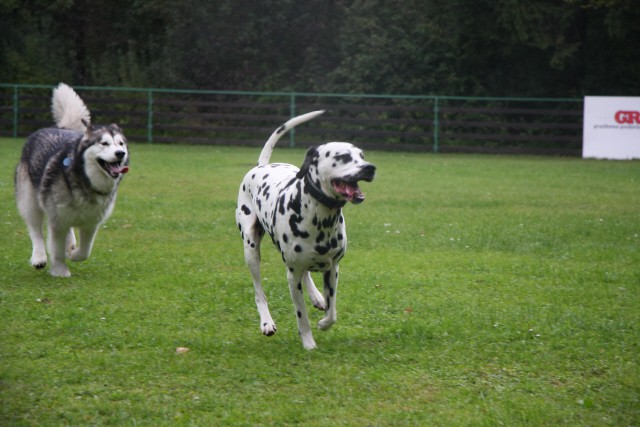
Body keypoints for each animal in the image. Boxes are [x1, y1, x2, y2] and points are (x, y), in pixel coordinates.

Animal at [15, 83, 129, 278]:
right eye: (104, 143)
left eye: (120, 144)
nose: (120, 153)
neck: (85, 182)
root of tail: (60, 127)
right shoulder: (57, 219)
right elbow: (56, 248)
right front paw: (60, 270)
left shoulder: (91, 222)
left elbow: (85, 252)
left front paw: (73, 253)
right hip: (29, 200)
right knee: (35, 229)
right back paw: (39, 257)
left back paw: (70, 245)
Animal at [235, 111, 376, 352]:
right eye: (343, 157)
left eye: (362, 155)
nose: (370, 167)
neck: (322, 219)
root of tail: (262, 166)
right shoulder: (292, 278)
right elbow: (301, 316)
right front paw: (309, 342)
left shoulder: (333, 269)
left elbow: (332, 311)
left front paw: (324, 321)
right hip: (250, 248)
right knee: (258, 290)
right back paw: (266, 322)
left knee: (307, 274)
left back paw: (317, 297)